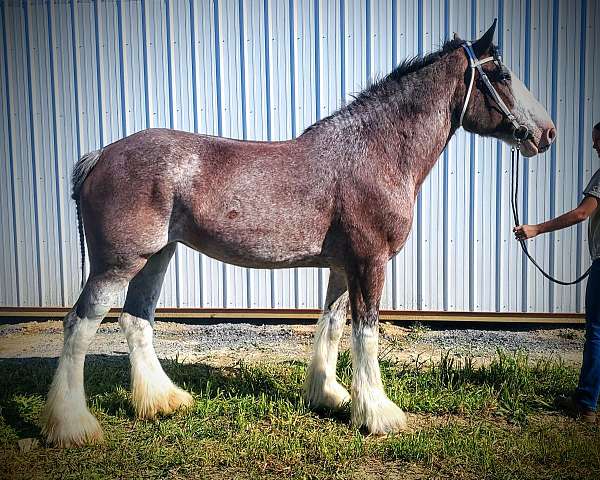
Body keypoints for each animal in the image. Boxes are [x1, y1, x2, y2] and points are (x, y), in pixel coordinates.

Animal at [43, 22, 556, 446]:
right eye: (503, 74)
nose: (547, 133)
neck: (375, 152)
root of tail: (101, 155)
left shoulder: (342, 267)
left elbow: (331, 325)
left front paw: (330, 396)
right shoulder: (370, 262)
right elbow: (366, 333)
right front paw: (379, 414)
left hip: (157, 257)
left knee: (136, 321)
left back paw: (163, 401)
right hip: (118, 263)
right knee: (80, 324)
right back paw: (73, 426)